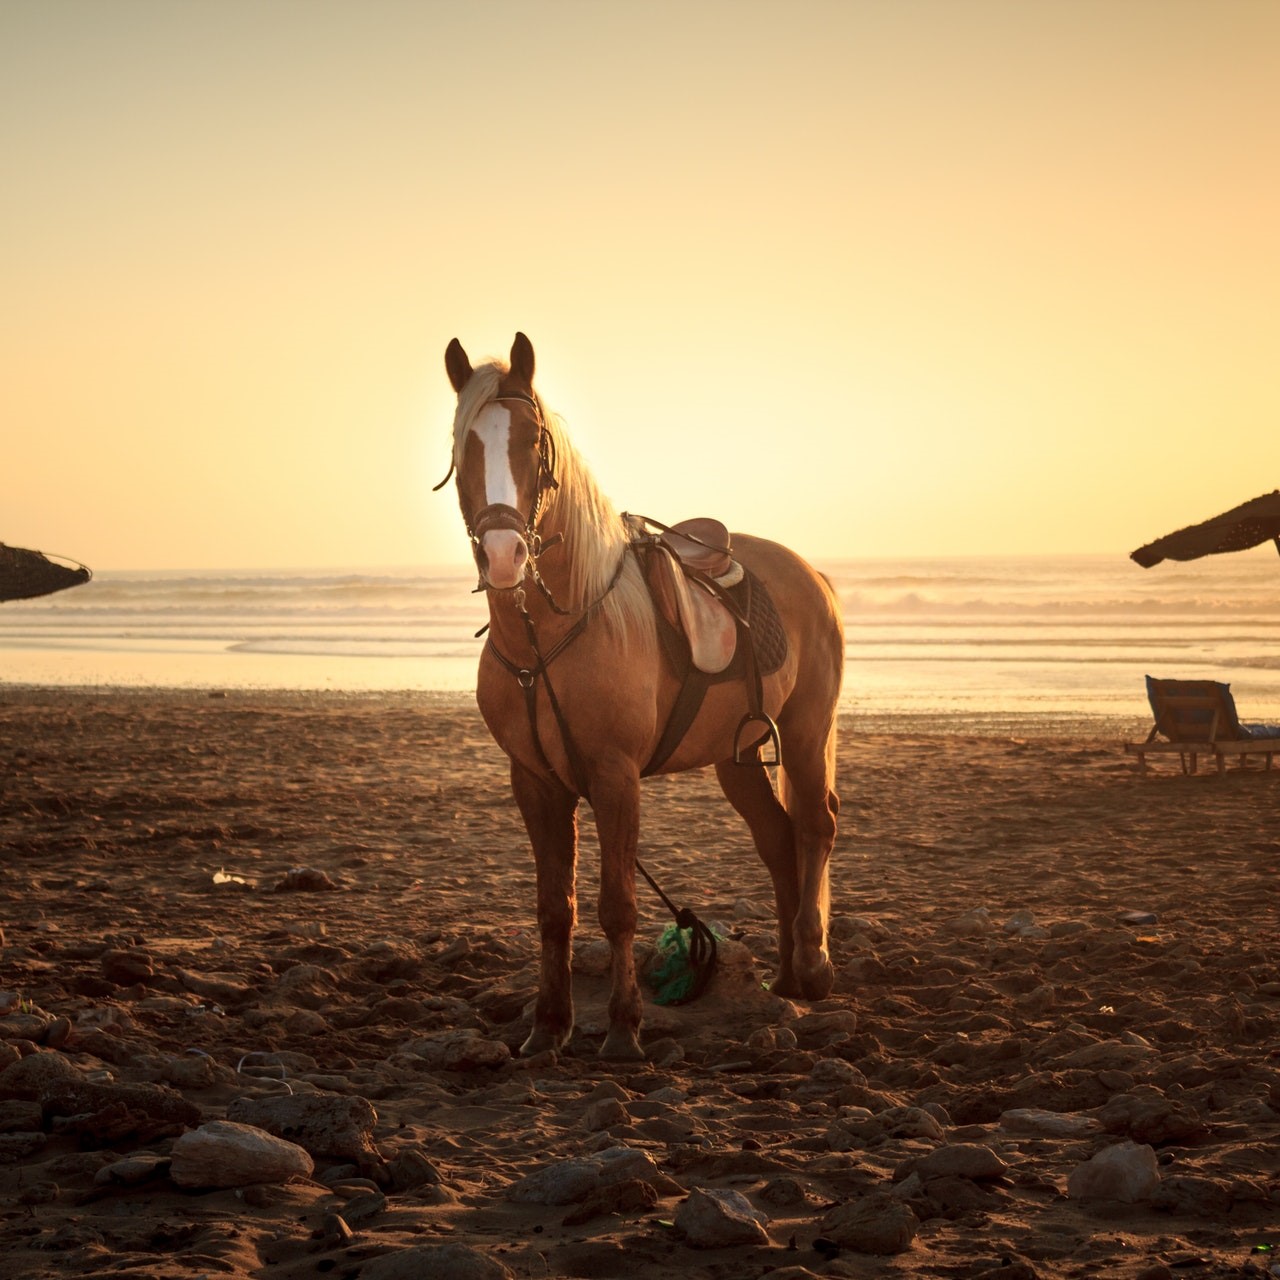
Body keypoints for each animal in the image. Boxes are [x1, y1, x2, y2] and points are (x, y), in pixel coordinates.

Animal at [440, 330, 839, 1059]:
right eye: (464, 449)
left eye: (534, 443)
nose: (505, 555)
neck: (553, 636)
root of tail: (811, 575)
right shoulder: (536, 783)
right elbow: (555, 909)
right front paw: (548, 1028)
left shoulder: (615, 778)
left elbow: (618, 906)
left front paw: (624, 1030)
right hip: (738, 755)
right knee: (778, 838)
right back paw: (788, 977)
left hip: (805, 731)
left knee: (816, 827)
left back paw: (814, 966)